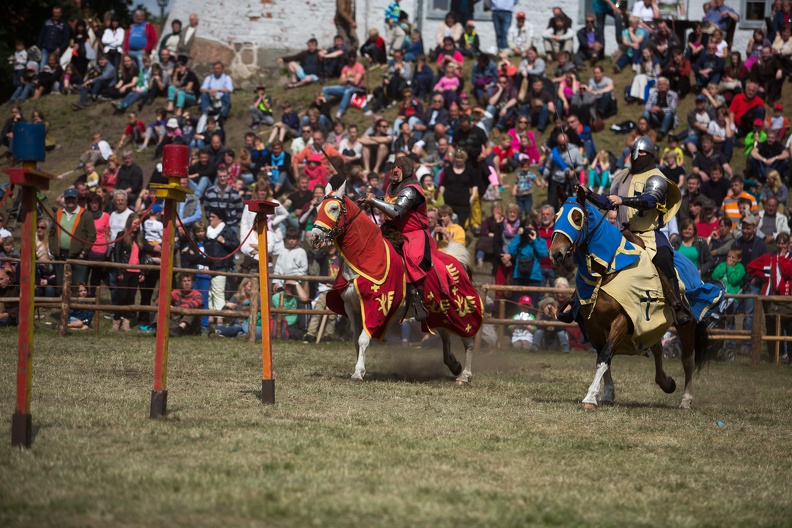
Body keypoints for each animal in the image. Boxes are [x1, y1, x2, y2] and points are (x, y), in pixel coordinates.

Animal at [548, 188, 716, 410]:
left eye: (577, 218)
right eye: (556, 217)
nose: (555, 254)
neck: (609, 270)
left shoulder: (624, 319)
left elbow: (605, 357)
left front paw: (590, 398)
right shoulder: (594, 326)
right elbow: (603, 357)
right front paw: (607, 393)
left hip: (687, 325)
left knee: (688, 360)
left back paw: (686, 399)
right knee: (657, 347)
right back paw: (665, 382)